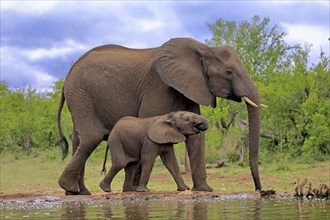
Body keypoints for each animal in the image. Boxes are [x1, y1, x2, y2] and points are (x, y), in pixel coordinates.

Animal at [56, 37, 262, 194]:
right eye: (229, 72)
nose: (259, 189)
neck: (203, 49)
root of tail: (68, 75)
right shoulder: (158, 87)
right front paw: (137, 190)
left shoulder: (191, 86)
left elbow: (197, 139)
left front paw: (204, 190)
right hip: (82, 95)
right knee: (91, 137)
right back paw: (71, 188)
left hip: (80, 99)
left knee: (78, 140)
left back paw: (79, 192)